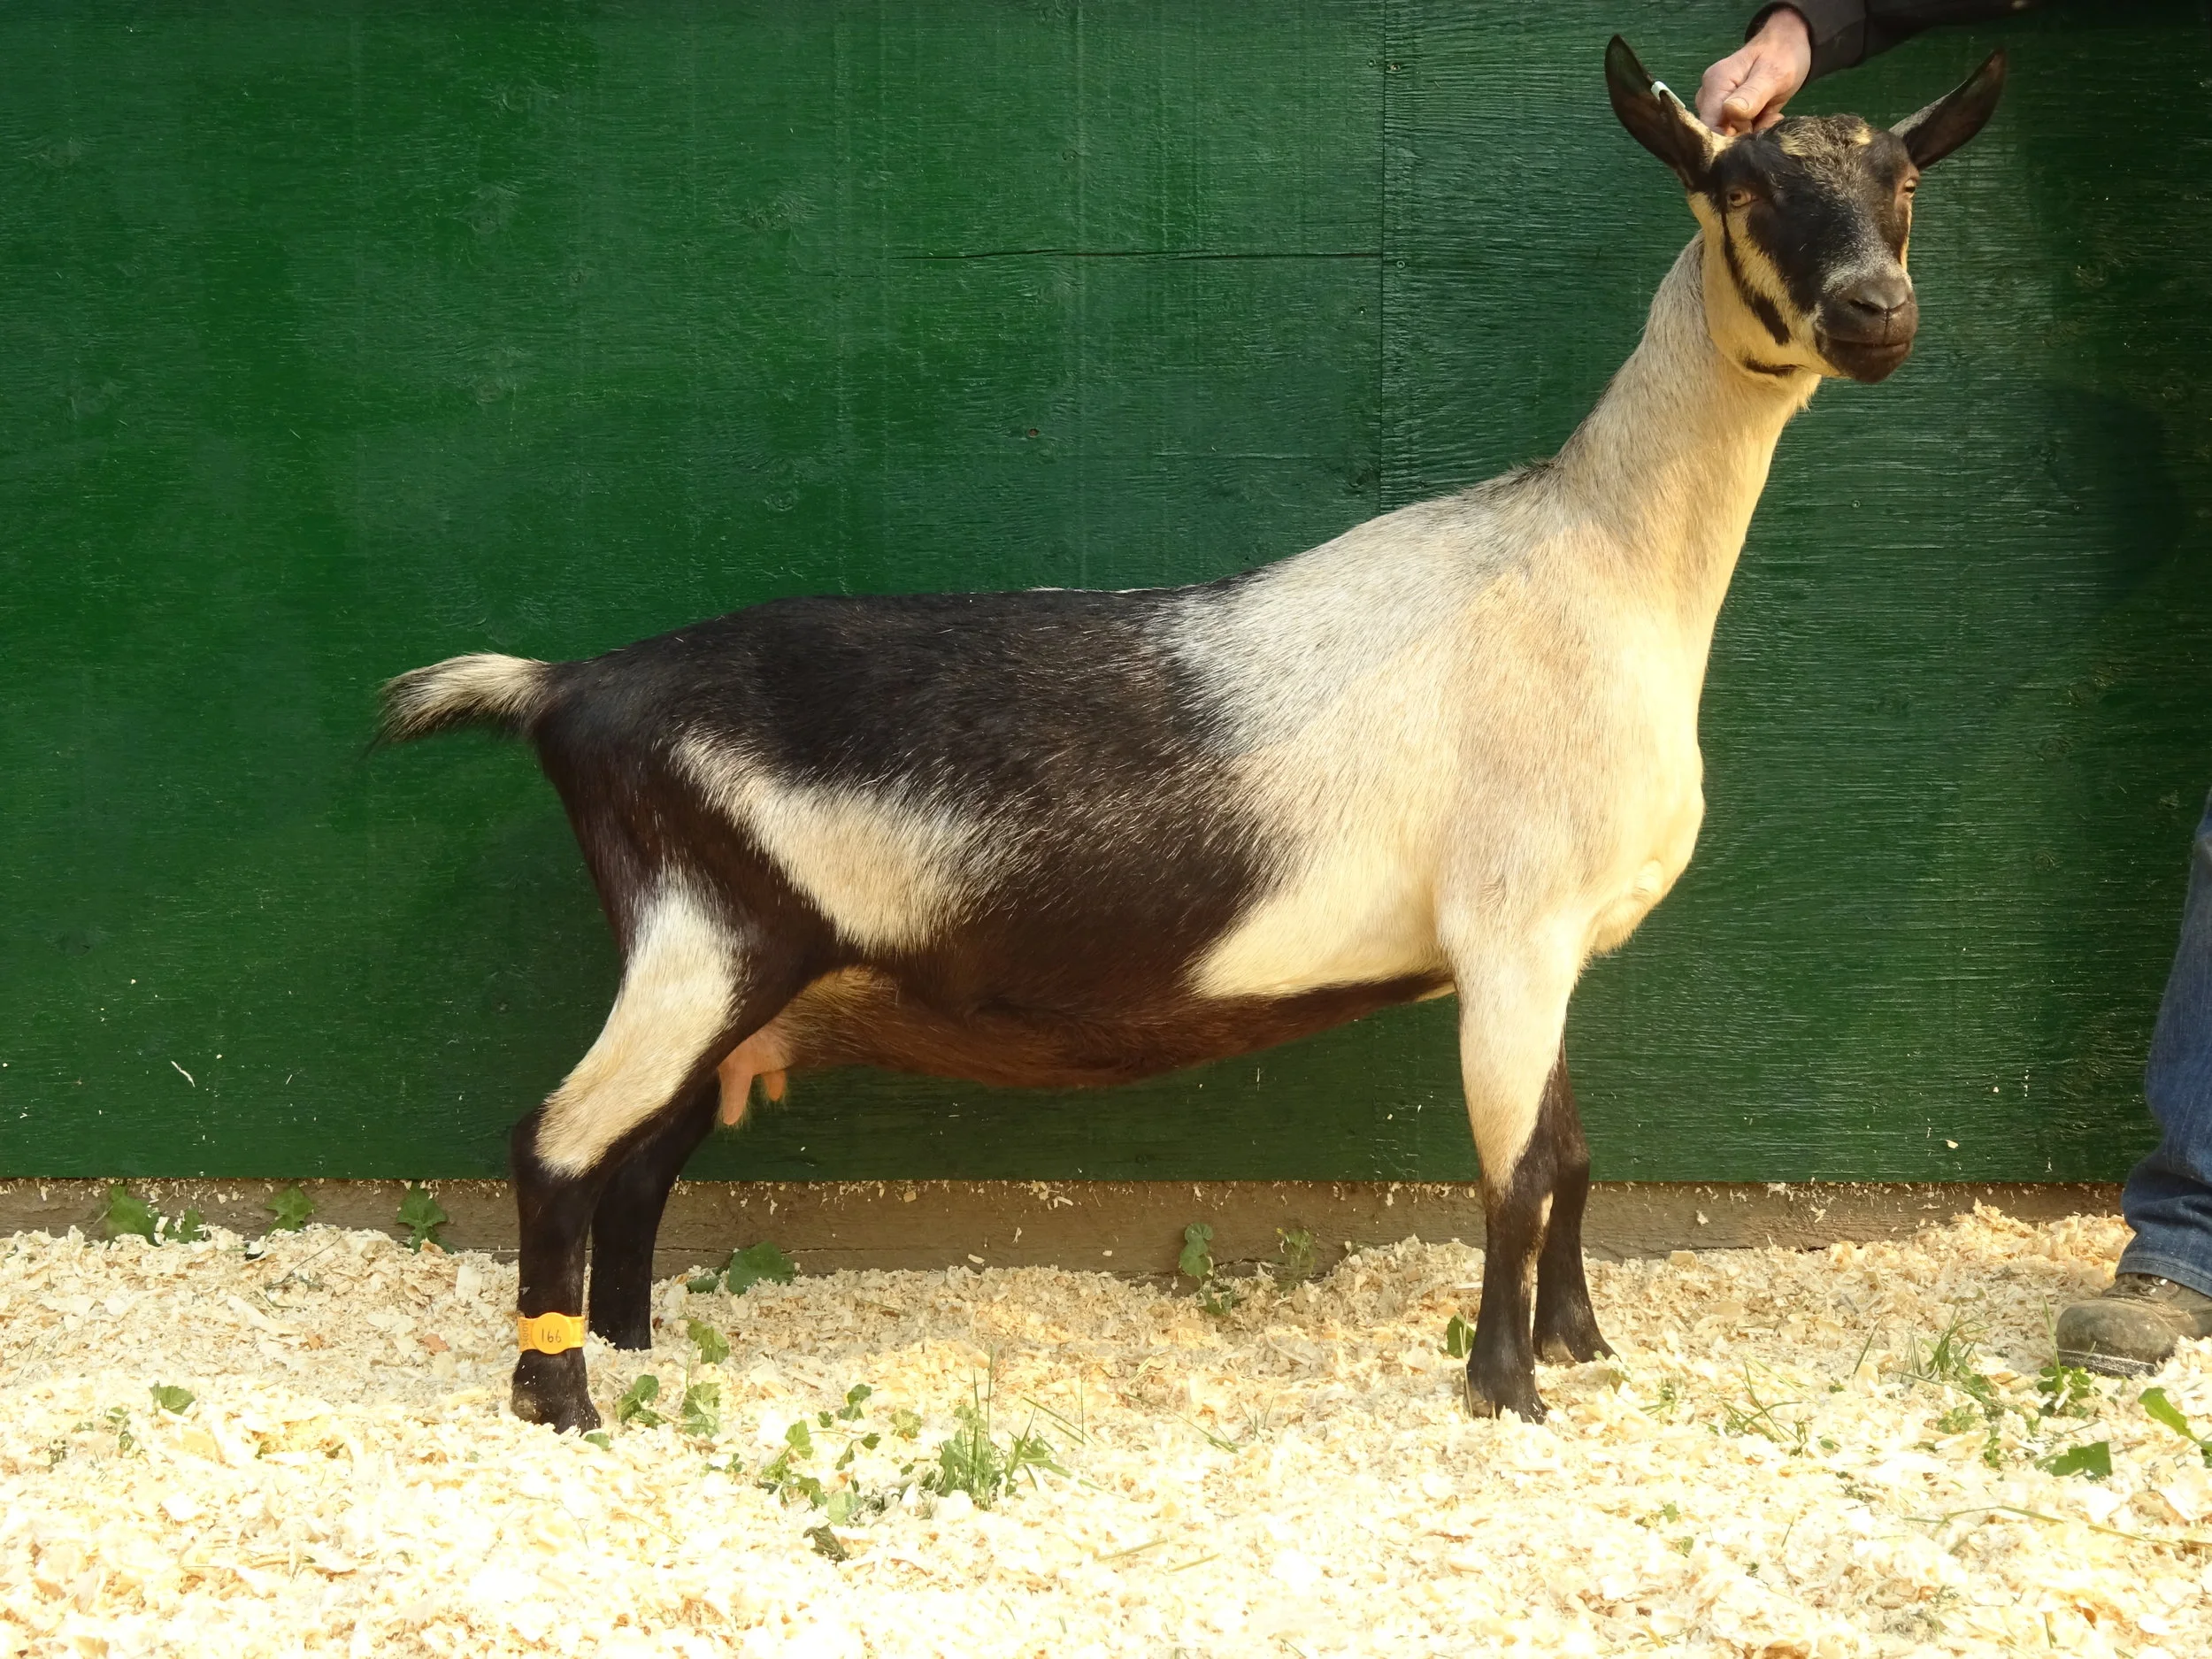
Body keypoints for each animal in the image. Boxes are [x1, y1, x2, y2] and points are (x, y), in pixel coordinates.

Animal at [379, 39, 2005, 1432]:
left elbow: (1577, 1158)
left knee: (639, 1161)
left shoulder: (1553, 943)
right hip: (703, 940)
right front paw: (1506, 1392)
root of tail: (571, 686)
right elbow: (1520, 1167)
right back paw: (561, 1397)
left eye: (1903, 184)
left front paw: (1583, 1346)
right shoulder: (1511, 928)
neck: (1598, 558)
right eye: (1741, 189)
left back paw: (634, 1348)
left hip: (734, 984)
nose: (1874, 314)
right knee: (558, 1142)